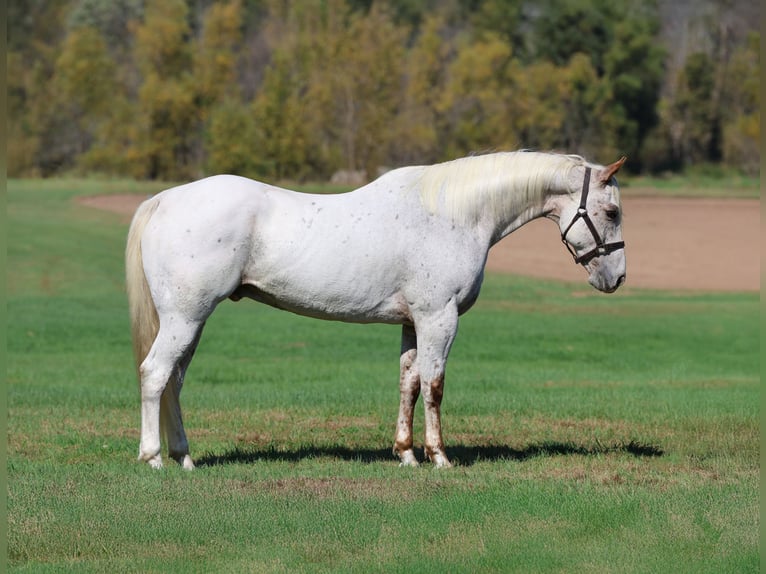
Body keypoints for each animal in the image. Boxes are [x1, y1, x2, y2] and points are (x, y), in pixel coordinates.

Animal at [126, 150, 627, 470]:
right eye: (613, 212)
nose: (616, 278)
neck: (453, 214)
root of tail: (164, 199)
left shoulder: (413, 322)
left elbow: (409, 383)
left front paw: (405, 453)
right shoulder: (439, 317)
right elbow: (435, 385)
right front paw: (439, 457)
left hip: (191, 322)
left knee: (173, 382)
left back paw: (184, 458)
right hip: (185, 318)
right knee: (155, 374)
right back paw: (153, 458)